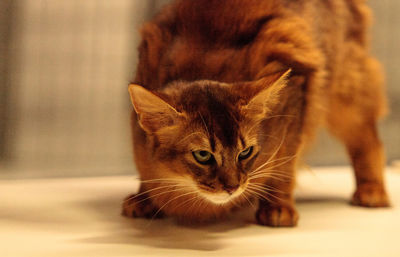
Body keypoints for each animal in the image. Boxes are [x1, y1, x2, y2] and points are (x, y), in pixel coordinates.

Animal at [122, 0, 390, 225]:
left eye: (246, 152)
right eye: (203, 155)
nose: (232, 187)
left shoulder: (296, 90)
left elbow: (285, 164)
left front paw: (278, 207)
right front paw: (144, 198)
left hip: (345, 85)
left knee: (368, 139)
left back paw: (372, 190)